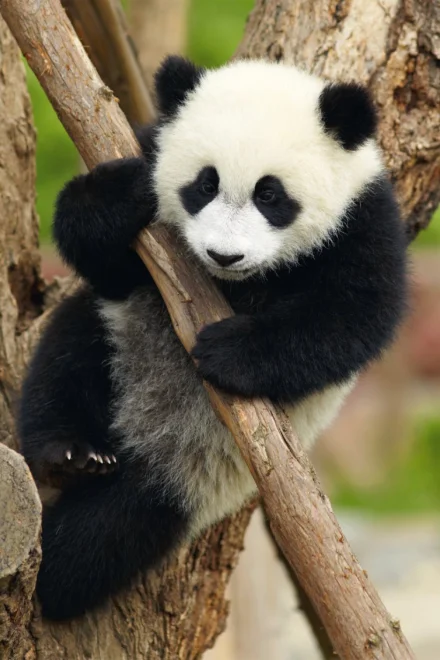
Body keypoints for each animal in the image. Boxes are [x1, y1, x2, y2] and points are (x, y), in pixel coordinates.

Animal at [19, 56, 407, 620]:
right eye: (205, 184)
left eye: (270, 194)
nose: (225, 255)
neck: (238, 284)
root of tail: (142, 438)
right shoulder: (147, 164)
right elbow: (102, 253)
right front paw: (117, 196)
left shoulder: (363, 219)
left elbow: (354, 316)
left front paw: (228, 351)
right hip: (115, 332)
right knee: (65, 360)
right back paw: (69, 453)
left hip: (201, 477)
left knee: (121, 526)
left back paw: (59, 575)